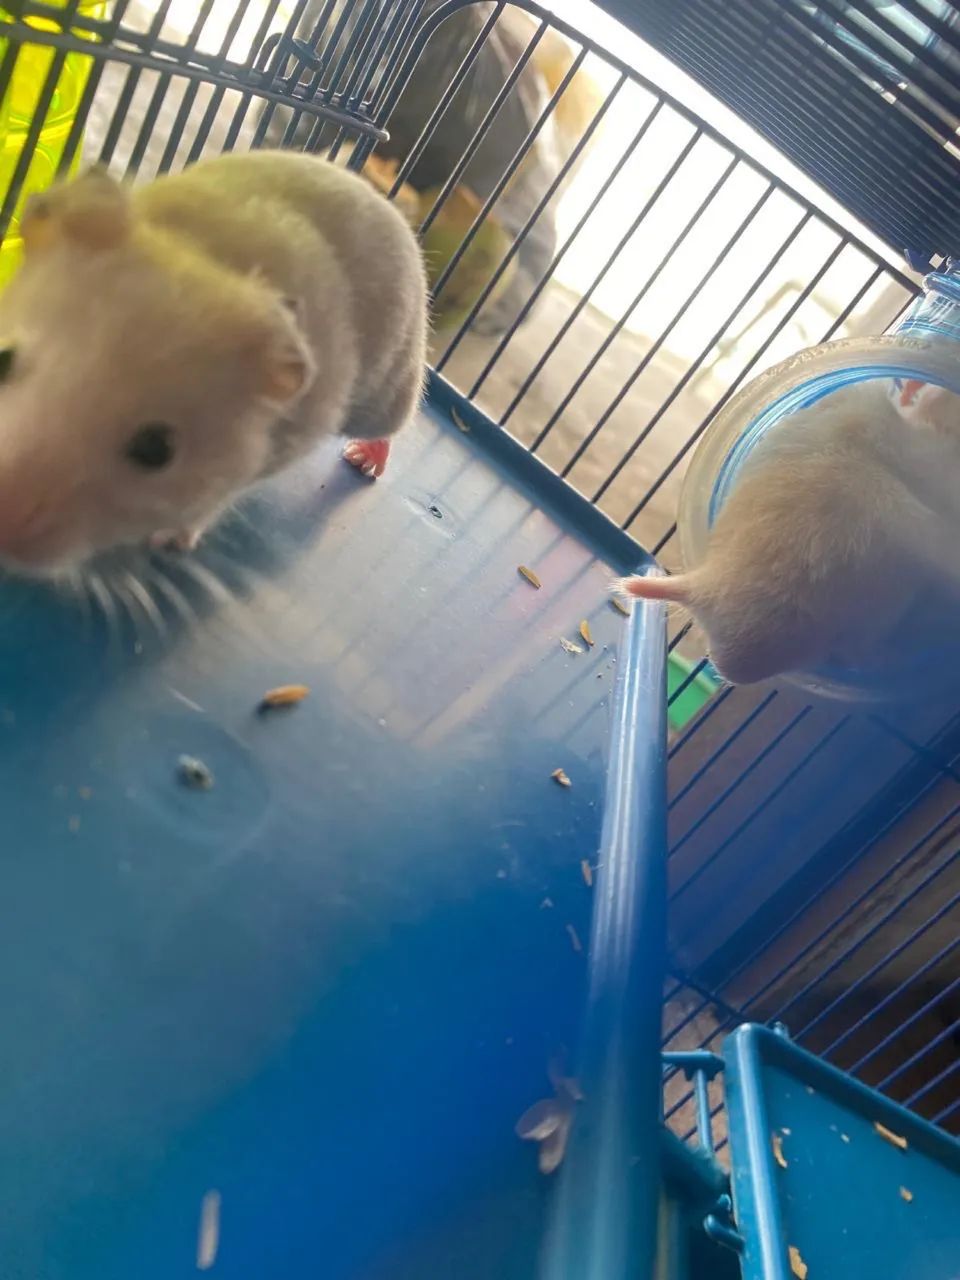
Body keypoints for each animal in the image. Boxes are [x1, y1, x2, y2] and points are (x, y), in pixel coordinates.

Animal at [0, 150, 428, 572]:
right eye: (2, 359)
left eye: (157, 448)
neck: (205, 254)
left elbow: (212, 502)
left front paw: (170, 540)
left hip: (389, 389)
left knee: (392, 425)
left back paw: (362, 459)